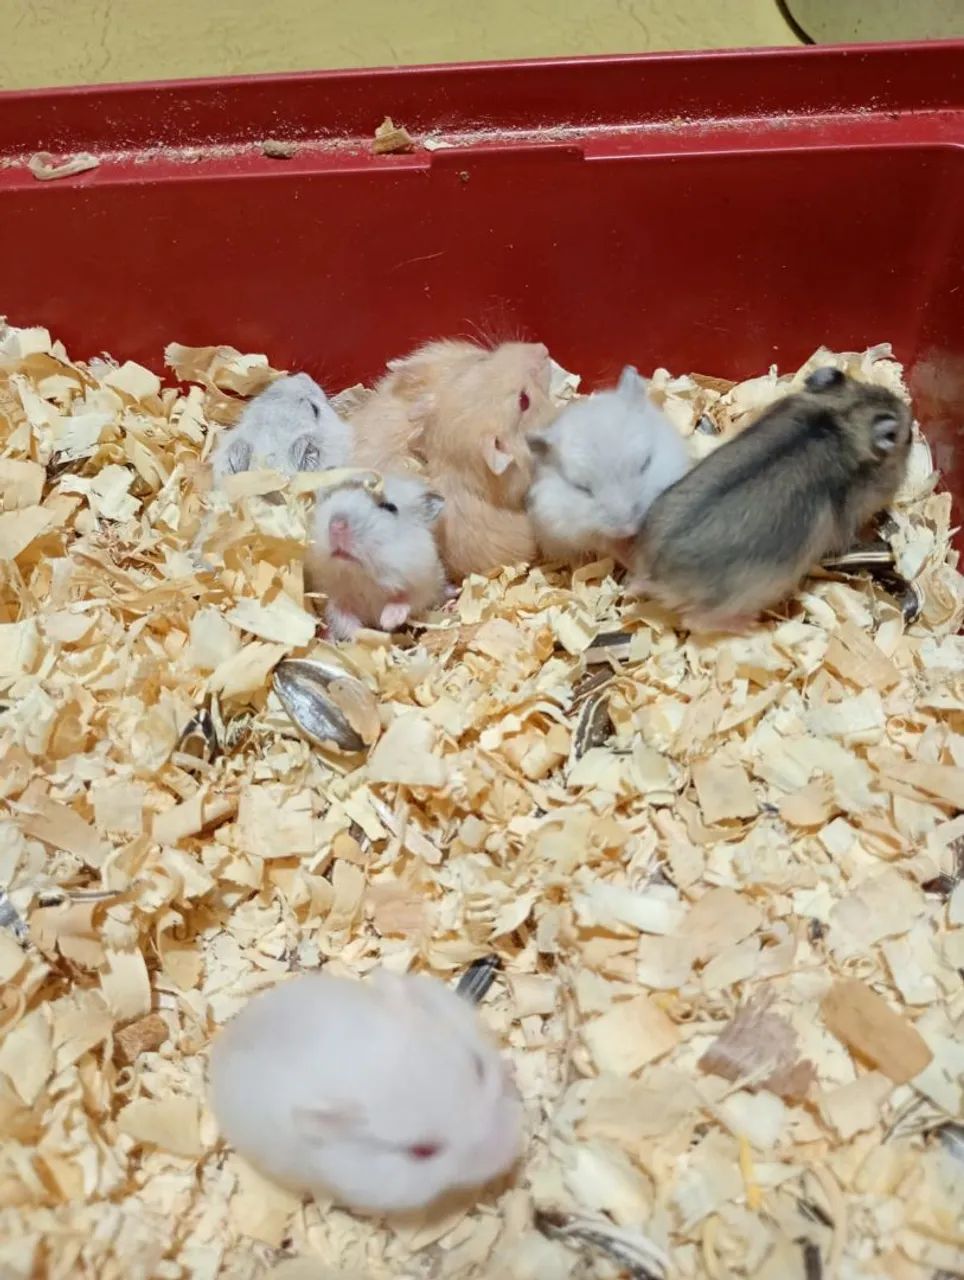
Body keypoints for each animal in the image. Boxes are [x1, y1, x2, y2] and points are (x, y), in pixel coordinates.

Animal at [305, 471, 447, 640]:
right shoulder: (336, 598)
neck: (362, 576)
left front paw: (387, 622)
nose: (336, 525)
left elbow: (406, 600)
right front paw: (361, 637)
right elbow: (344, 620)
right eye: (331, 497)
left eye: (390, 507)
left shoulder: (425, 585)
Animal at [630, 366, 913, 631]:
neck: (842, 417)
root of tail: (655, 573)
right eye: (907, 436)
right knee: (694, 621)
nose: (911, 427)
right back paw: (750, 624)